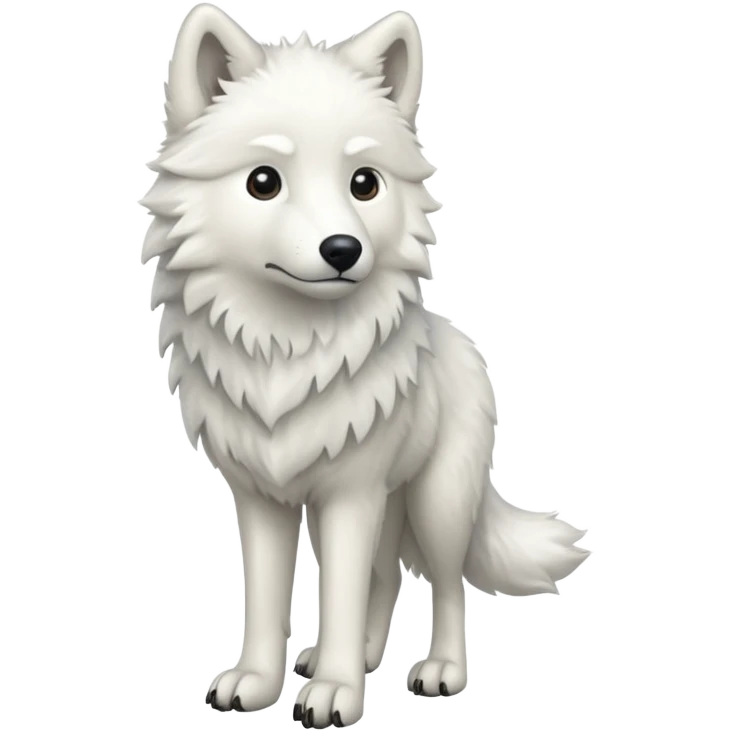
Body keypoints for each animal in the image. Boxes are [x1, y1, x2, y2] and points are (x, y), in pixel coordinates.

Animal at [141, 5, 591, 728]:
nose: (343, 248)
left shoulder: (350, 494)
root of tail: (462, 342)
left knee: (446, 582)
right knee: (386, 576)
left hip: (435, 503)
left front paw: (335, 694)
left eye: (365, 183)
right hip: (386, 504)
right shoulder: (263, 498)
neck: (286, 350)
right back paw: (345, 658)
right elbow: (268, 600)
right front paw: (259, 683)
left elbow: (345, 594)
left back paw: (436, 670)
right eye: (263, 181)